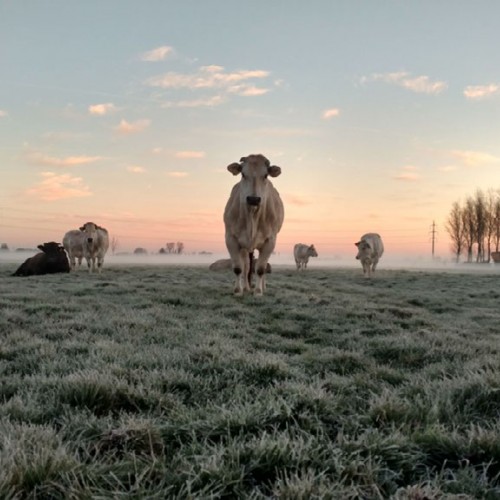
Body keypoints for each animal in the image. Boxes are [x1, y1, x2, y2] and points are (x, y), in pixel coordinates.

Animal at [223, 154, 284, 296]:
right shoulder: (231, 239)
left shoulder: (270, 241)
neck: (252, 217)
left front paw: (258, 291)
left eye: (266, 175)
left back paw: (262, 287)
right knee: (246, 267)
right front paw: (238, 290)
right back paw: (246, 287)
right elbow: (239, 268)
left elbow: (261, 268)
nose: (253, 199)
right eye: (243, 174)